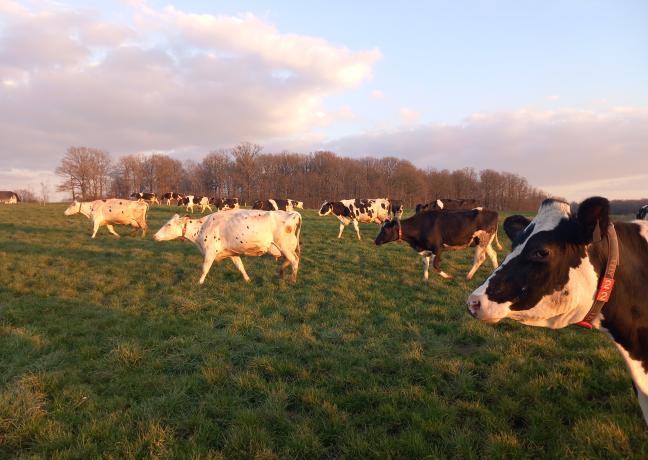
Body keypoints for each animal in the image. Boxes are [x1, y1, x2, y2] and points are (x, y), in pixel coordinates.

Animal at [153, 209, 301, 283]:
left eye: (168, 224)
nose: (154, 236)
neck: (201, 228)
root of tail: (293, 213)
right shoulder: (232, 253)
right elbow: (240, 267)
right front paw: (248, 280)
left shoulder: (210, 252)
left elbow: (205, 268)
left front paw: (199, 282)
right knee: (290, 261)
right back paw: (281, 275)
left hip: (285, 247)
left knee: (294, 261)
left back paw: (293, 280)